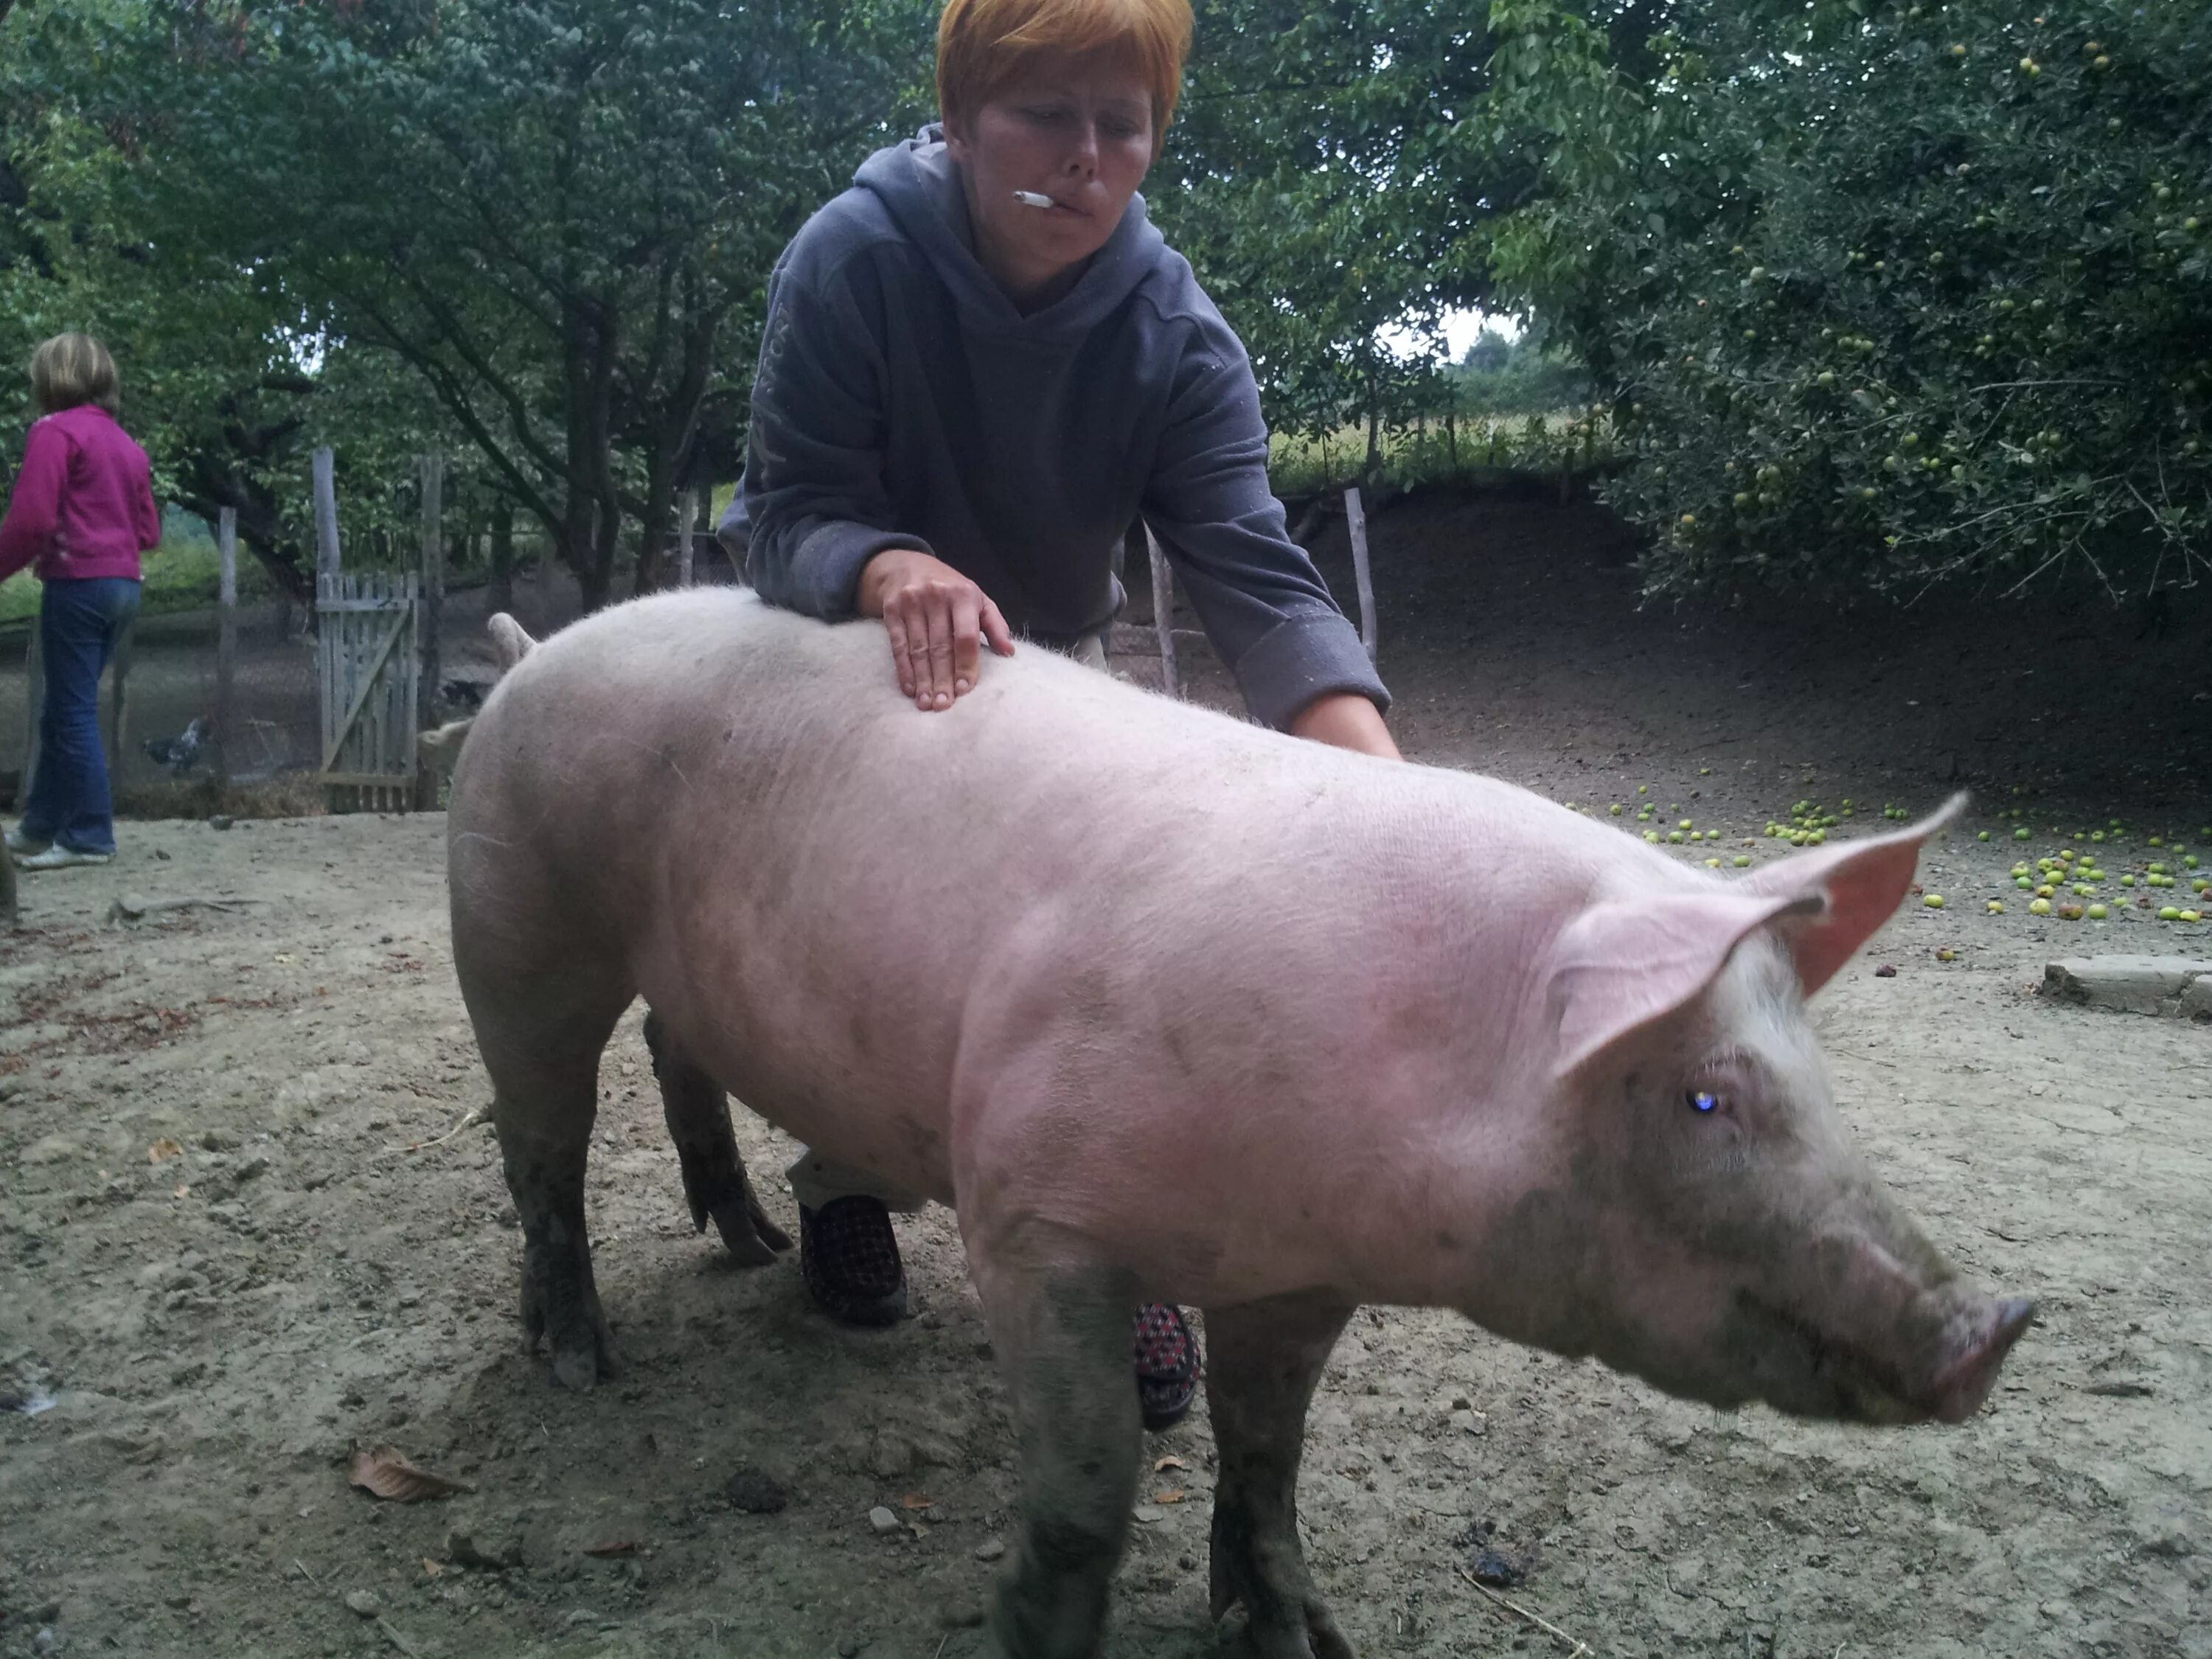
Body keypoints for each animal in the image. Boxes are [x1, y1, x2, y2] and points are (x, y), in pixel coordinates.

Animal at [449, 593, 2035, 1659]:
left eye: (1816, 1071)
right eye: (1706, 1094)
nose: (1996, 1322)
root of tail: (532, 651)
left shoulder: (1301, 1275)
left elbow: (1267, 1458)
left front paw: (1301, 1636)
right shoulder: (1030, 1216)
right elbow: (1090, 1487)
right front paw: (1042, 1635)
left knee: (676, 1059)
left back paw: (751, 1245)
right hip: (517, 928)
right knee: (542, 1148)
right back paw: (583, 1362)